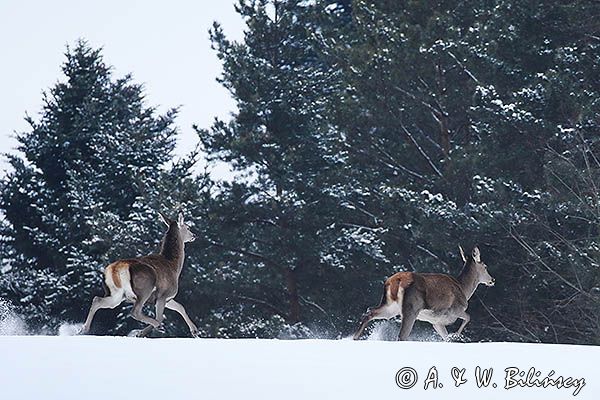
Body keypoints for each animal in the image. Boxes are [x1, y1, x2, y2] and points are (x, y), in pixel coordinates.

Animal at [352, 247, 492, 340]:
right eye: (485, 266)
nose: (492, 280)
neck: (464, 289)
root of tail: (395, 281)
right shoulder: (454, 309)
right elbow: (468, 317)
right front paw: (456, 335)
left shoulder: (436, 322)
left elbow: (445, 337)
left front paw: (452, 337)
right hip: (411, 307)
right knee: (402, 335)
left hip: (390, 307)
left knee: (370, 312)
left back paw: (354, 337)